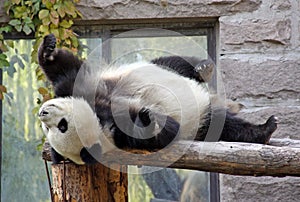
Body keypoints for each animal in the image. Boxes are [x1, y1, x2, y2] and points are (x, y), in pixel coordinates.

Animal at [38, 34, 278, 164]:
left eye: (60, 125)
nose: (42, 113)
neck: (101, 117)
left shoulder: (89, 89)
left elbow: (67, 71)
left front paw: (48, 51)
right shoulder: (123, 136)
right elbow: (167, 132)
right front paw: (150, 120)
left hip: (155, 67)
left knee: (174, 64)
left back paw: (203, 68)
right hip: (201, 118)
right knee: (224, 124)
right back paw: (264, 129)